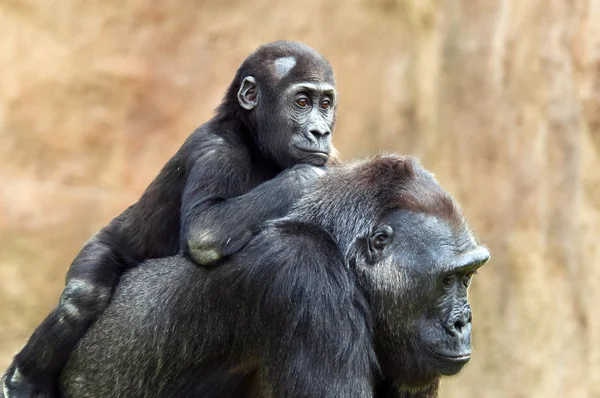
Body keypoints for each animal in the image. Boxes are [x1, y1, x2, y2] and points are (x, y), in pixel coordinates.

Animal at [4, 41, 340, 398]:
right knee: (82, 298)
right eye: (302, 102)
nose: (321, 131)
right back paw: (23, 380)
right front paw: (314, 174)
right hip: (102, 243)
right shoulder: (217, 150)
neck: (253, 136)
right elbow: (205, 230)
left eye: (326, 104)